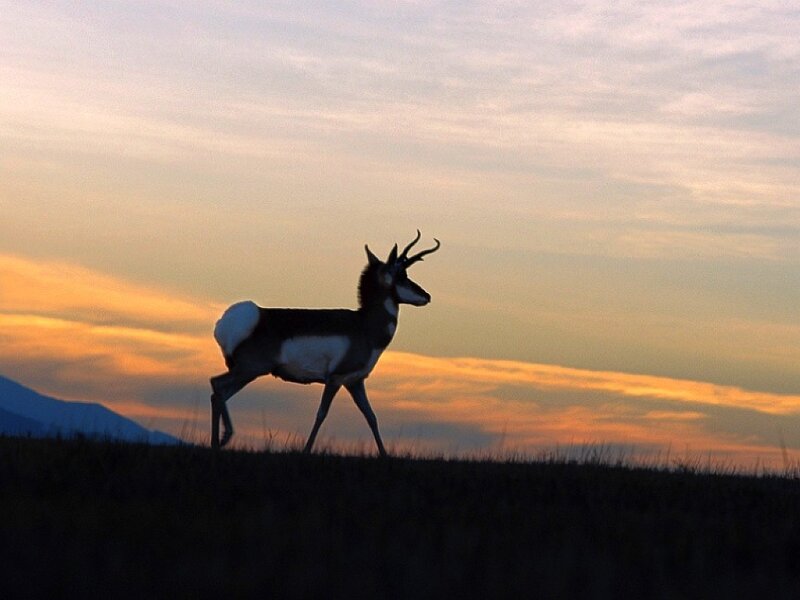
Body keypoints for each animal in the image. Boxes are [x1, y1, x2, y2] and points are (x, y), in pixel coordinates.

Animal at [209, 231, 440, 456]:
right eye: (402, 275)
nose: (427, 296)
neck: (364, 326)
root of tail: (250, 316)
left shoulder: (355, 381)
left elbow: (371, 416)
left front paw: (384, 454)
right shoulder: (335, 379)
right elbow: (321, 413)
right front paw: (305, 450)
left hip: (248, 372)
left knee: (220, 392)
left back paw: (219, 442)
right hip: (250, 369)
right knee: (217, 386)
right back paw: (221, 440)